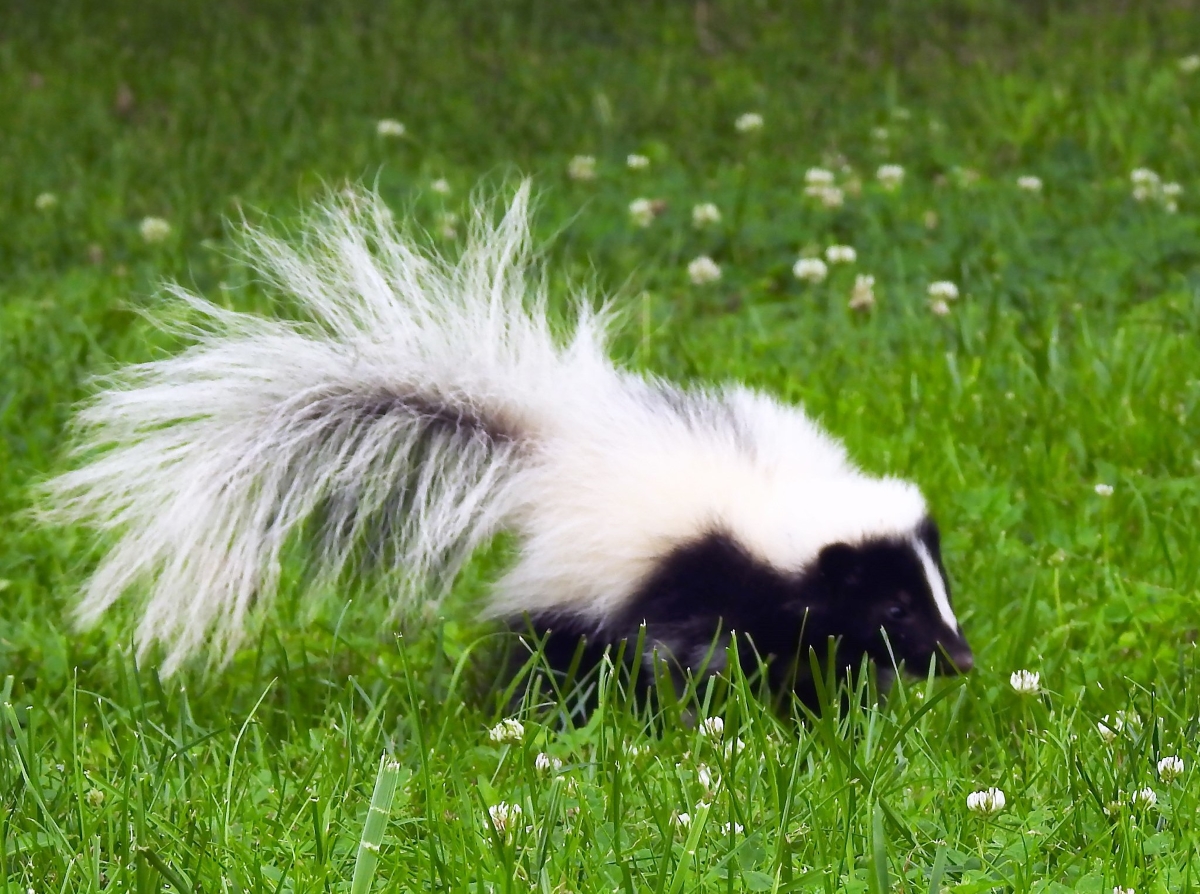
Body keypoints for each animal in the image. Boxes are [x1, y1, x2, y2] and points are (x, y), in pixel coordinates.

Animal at [42, 186, 969, 705]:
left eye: (939, 590)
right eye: (894, 607)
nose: (959, 657)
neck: (776, 504)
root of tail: (551, 448)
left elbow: (812, 660)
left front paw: (827, 710)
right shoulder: (690, 571)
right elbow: (688, 653)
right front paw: (720, 714)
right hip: (572, 586)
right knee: (554, 653)